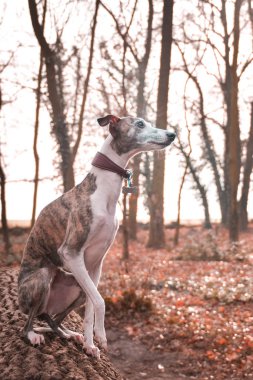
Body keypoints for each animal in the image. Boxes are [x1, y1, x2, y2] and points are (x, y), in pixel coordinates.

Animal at [18, 114, 176, 358]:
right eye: (140, 124)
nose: (172, 134)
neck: (104, 194)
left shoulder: (95, 264)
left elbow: (91, 308)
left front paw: (90, 344)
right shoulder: (71, 253)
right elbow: (100, 302)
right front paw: (101, 337)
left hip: (76, 287)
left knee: (54, 319)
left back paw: (68, 334)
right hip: (42, 278)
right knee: (28, 322)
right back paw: (33, 334)